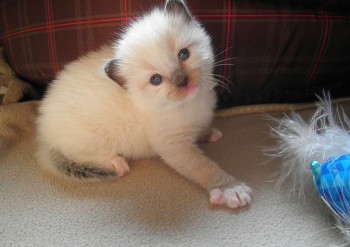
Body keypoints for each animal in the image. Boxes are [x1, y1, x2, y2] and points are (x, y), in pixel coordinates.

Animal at [36, 0, 252, 209]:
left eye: (183, 54)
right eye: (156, 80)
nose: (182, 81)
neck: (191, 103)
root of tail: (43, 130)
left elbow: (201, 129)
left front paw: (208, 133)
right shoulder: (174, 146)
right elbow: (203, 166)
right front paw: (229, 188)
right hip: (89, 139)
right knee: (79, 154)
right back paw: (116, 162)